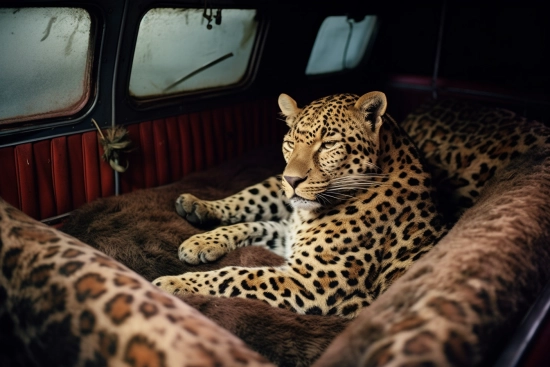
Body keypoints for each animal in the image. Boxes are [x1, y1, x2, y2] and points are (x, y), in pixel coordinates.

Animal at [153, 92, 450, 320]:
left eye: (329, 144)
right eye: (290, 143)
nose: (291, 180)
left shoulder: (312, 283)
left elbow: (238, 276)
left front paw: (174, 283)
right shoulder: (289, 238)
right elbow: (254, 225)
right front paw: (199, 243)